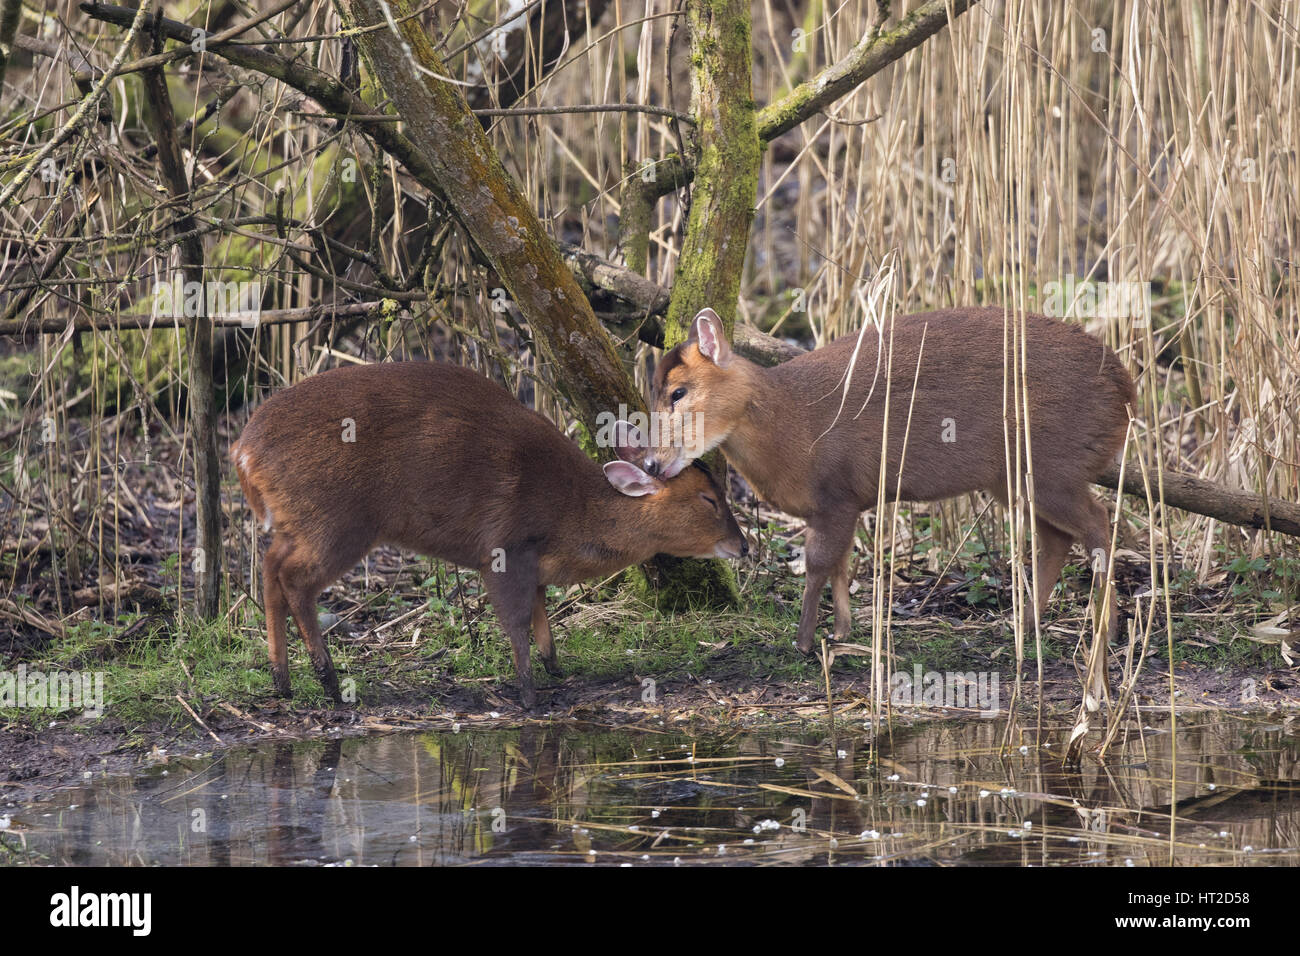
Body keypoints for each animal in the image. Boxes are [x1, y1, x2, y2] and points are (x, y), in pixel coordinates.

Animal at [644, 306, 1133, 697]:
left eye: (679, 392)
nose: (650, 462)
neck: (793, 424)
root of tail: (1126, 388)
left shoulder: (835, 496)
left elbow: (818, 563)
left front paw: (805, 640)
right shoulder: (844, 504)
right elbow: (841, 563)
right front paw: (841, 631)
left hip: (1052, 466)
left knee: (1100, 522)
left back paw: (1105, 634)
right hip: (1019, 478)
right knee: (1057, 539)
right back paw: (1026, 625)